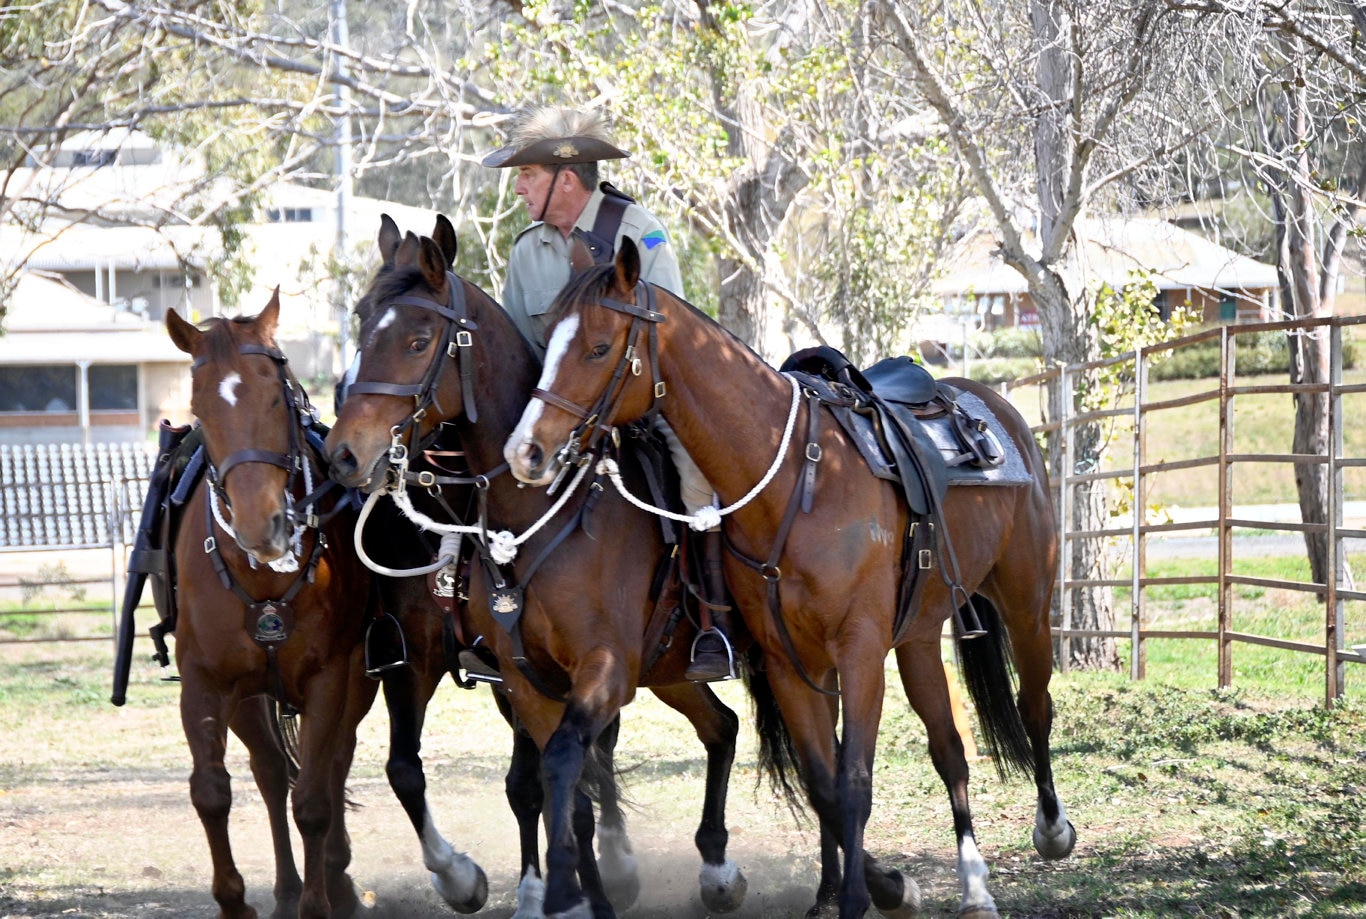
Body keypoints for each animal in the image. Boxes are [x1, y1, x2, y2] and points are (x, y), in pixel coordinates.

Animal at [165, 296, 489, 917]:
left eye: (275, 395)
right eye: (200, 407)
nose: (260, 525)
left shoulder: (332, 678)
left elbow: (315, 798)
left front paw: (322, 899)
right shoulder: (205, 681)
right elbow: (212, 793)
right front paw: (236, 901)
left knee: (332, 764)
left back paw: (334, 883)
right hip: (252, 699)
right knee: (270, 773)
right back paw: (288, 888)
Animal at [321, 217, 748, 917]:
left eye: (417, 340)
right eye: (359, 326)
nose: (343, 454)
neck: (542, 510)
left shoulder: (602, 667)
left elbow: (557, 773)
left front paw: (558, 891)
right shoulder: (506, 675)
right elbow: (554, 792)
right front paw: (570, 895)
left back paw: (716, 868)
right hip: (666, 670)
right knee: (720, 726)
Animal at [505, 238, 1076, 917]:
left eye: (596, 347)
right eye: (546, 341)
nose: (525, 451)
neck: (796, 483)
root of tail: (996, 412)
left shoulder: (859, 651)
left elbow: (853, 782)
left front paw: (861, 898)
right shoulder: (788, 662)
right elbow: (824, 782)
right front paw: (863, 891)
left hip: (1026, 606)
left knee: (1033, 705)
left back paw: (1050, 828)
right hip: (914, 639)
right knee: (949, 748)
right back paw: (971, 883)